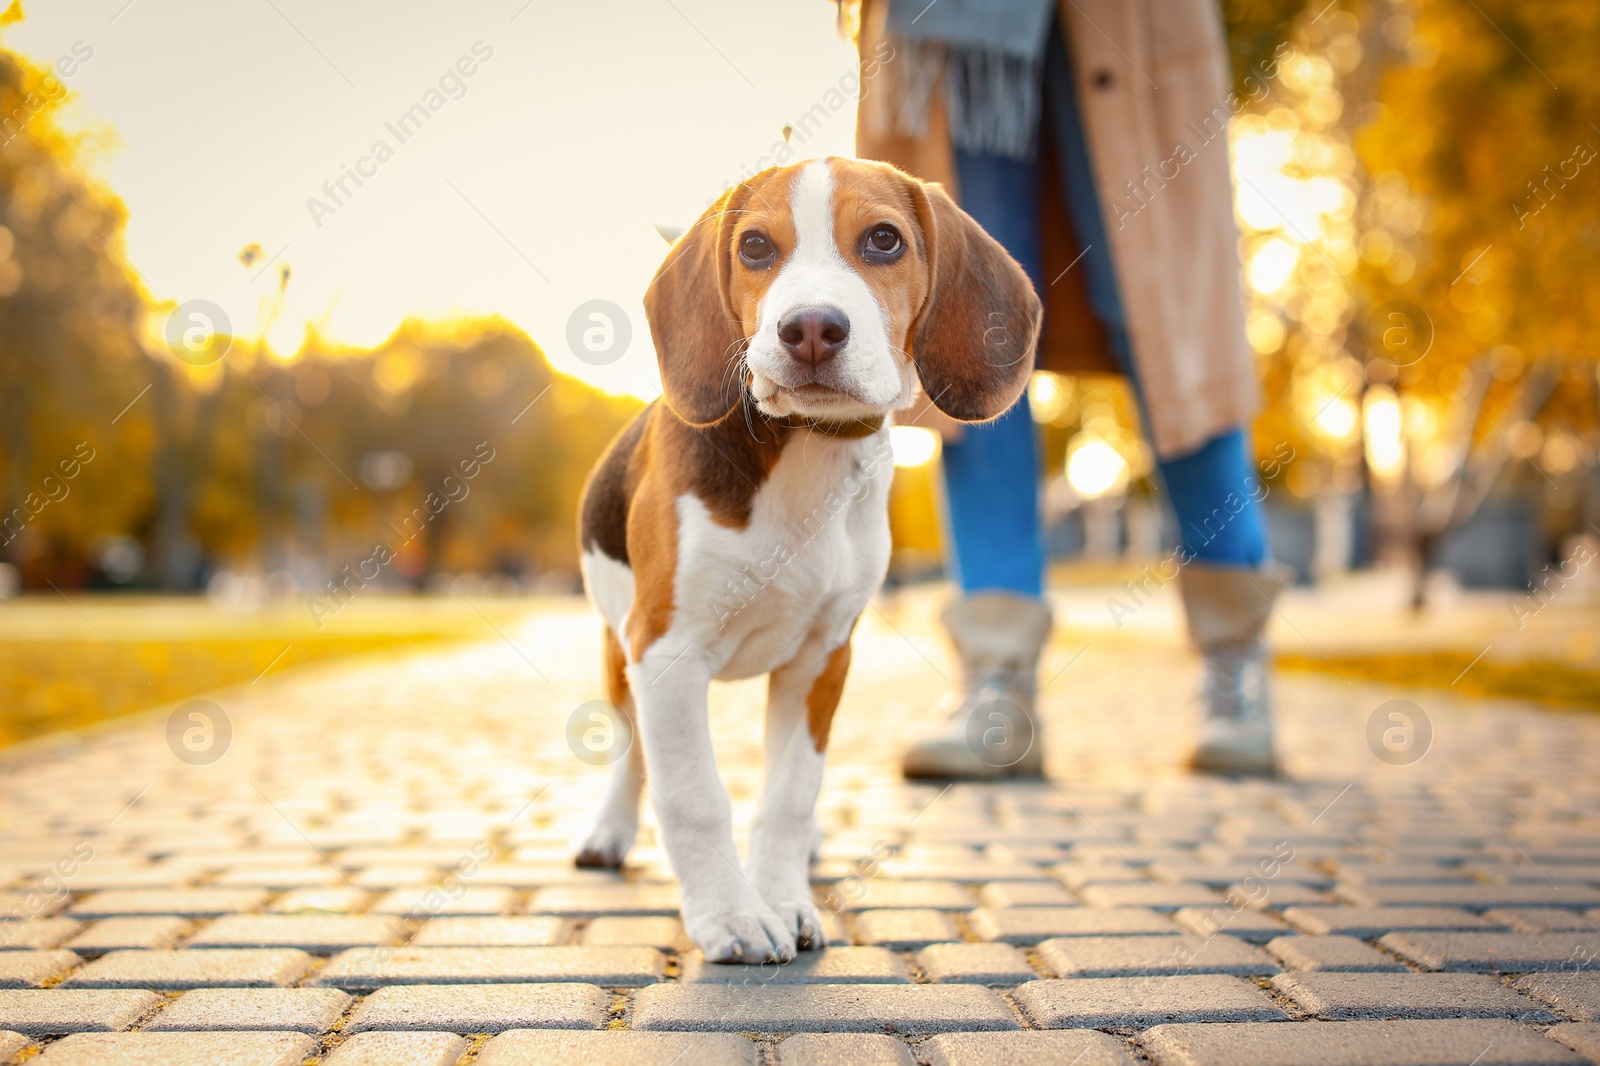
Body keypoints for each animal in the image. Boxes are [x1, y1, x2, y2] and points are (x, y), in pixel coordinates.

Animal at [576, 157, 1036, 960]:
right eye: (756, 247)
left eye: (884, 239)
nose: (812, 328)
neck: (805, 448)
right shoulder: (665, 649)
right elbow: (693, 794)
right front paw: (730, 914)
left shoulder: (823, 657)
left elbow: (791, 793)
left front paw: (783, 898)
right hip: (619, 647)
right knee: (631, 748)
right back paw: (610, 831)